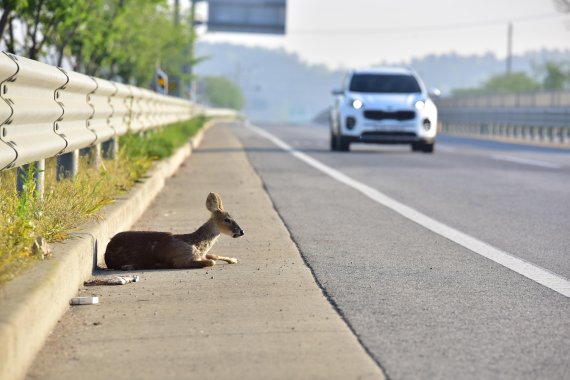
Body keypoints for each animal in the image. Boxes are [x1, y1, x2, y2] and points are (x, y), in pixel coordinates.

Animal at [105, 193, 243, 270]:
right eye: (227, 219)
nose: (242, 231)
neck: (196, 243)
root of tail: (107, 248)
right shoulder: (180, 260)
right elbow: (211, 262)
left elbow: (214, 256)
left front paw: (233, 259)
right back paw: (129, 266)